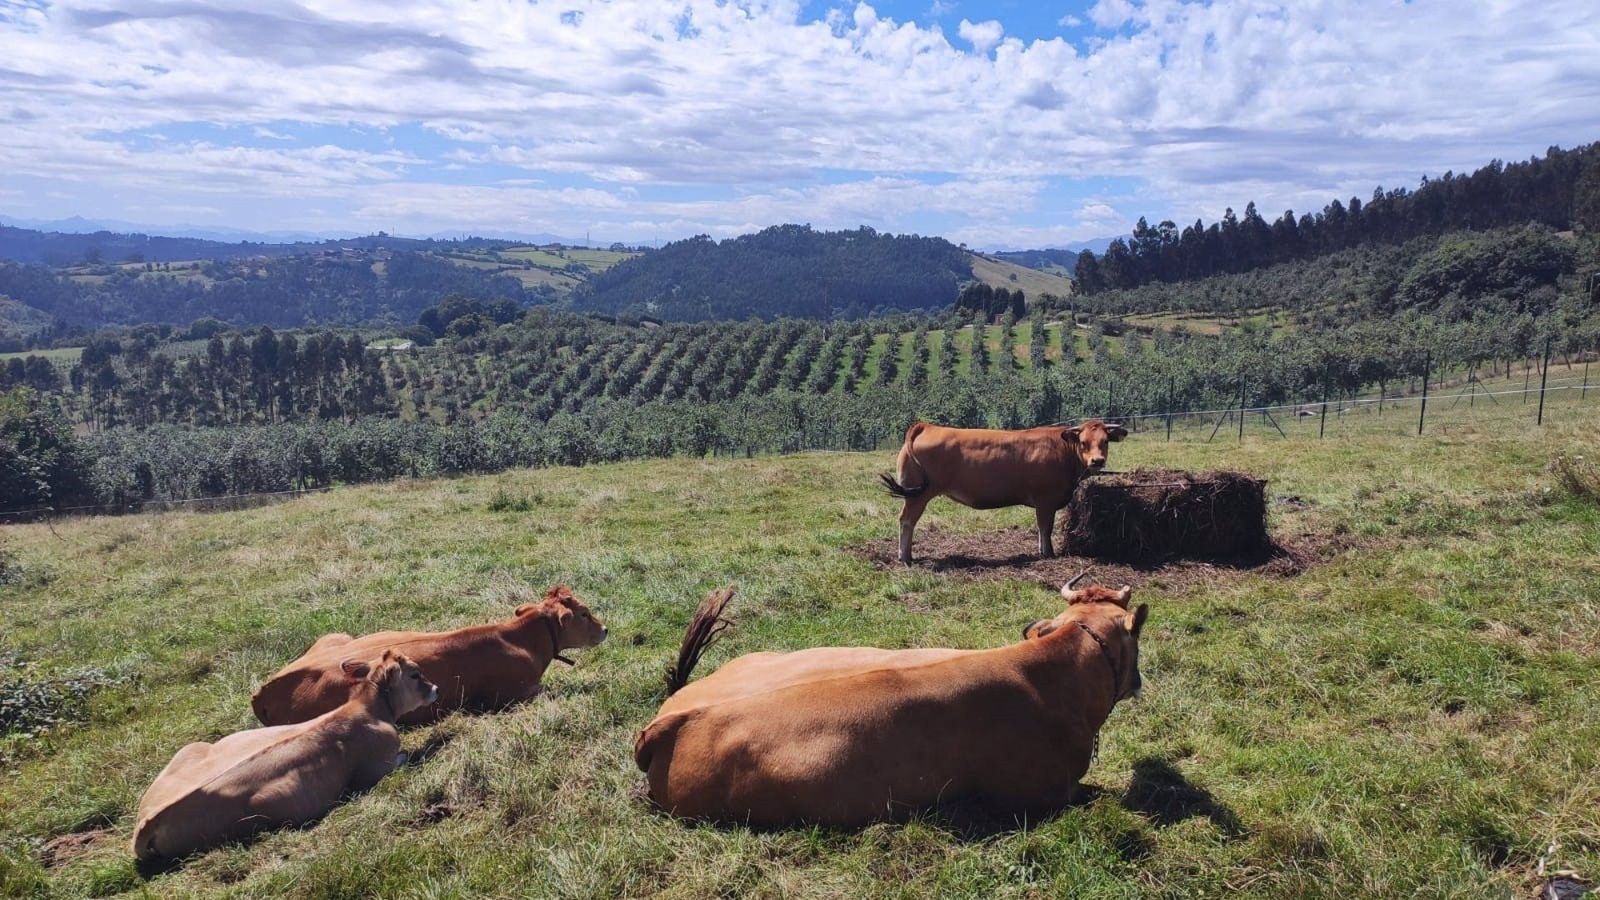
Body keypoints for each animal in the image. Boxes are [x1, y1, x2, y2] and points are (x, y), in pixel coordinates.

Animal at [132, 651, 436, 863]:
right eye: (415, 674)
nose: (435, 689)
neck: (369, 708)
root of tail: (147, 821)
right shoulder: (376, 769)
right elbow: (405, 756)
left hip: (190, 748)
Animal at [880, 419, 1128, 563]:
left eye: (1105, 441)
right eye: (1084, 442)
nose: (1097, 461)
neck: (1062, 450)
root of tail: (927, 426)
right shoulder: (1045, 500)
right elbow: (1045, 528)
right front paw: (1047, 553)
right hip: (918, 495)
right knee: (906, 521)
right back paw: (905, 556)